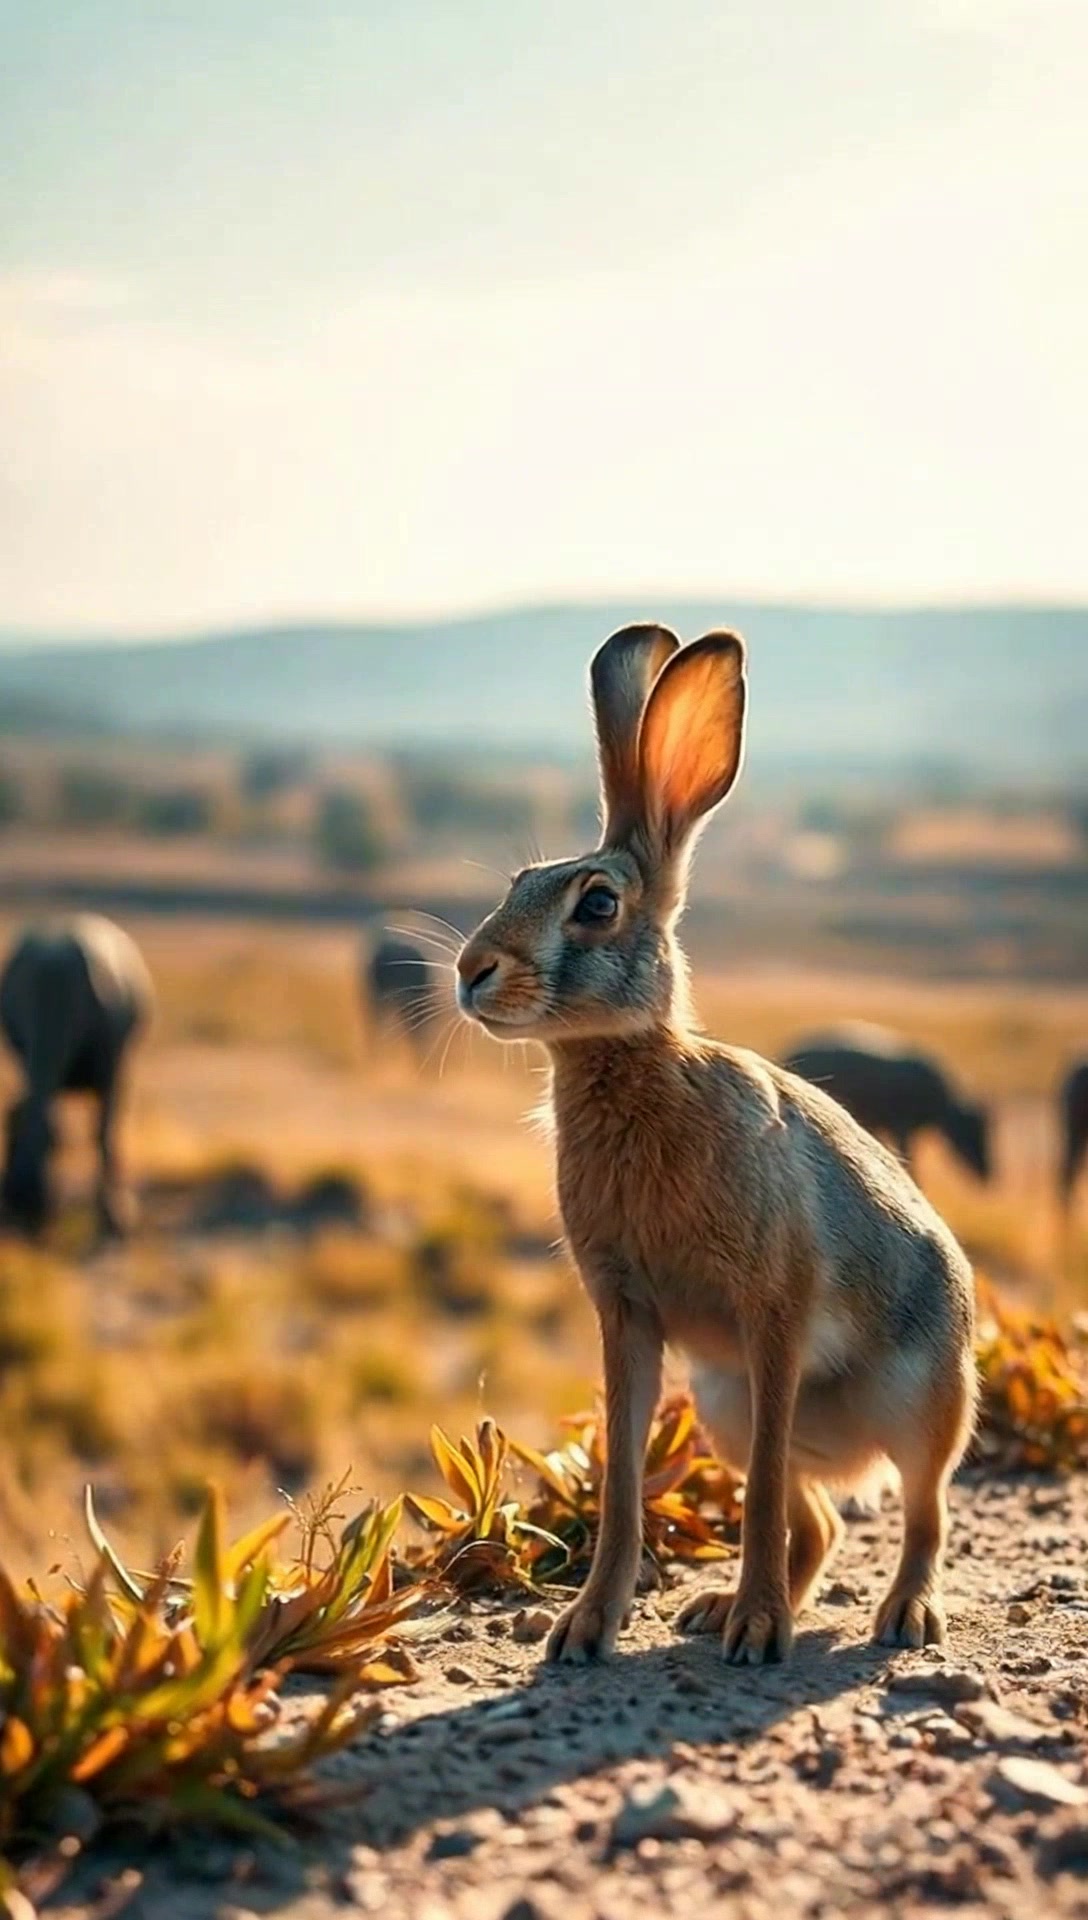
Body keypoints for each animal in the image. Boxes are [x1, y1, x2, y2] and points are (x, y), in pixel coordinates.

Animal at [455, 625, 977, 1666]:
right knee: (822, 1517)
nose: (470, 970)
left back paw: (895, 1616)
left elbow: (764, 1494)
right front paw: (584, 1631)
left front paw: (763, 1631)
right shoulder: (627, 1314)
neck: (634, 1067)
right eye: (517, 885)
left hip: (916, 1399)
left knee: (920, 1507)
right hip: (724, 1406)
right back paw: (712, 1612)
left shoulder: (773, 1309)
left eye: (597, 904)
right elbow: (624, 1482)